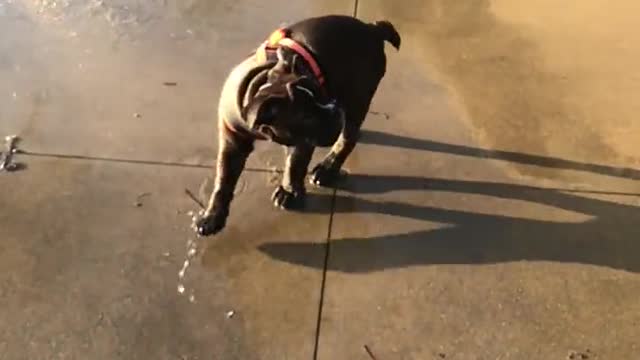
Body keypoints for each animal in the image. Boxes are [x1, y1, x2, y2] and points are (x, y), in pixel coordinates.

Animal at [195, 14, 400, 236]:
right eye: (307, 116)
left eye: (322, 94)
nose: (334, 109)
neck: (262, 84)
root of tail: (373, 29)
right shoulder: (233, 139)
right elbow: (223, 178)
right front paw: (212, 216)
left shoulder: (303, 141)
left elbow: (295, 165)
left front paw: (289, 193)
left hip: (358, 98)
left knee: (348, 137)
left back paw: (327, 168)